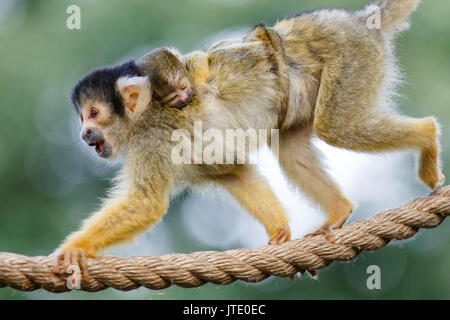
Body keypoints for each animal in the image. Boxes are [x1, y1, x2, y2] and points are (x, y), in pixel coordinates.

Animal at [53, 0, 442, 278]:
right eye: (83, 118)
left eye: (93, 114)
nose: (84, 134)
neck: (143, 117)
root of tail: (359, 20)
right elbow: (233, 171)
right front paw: (279, 231)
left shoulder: (152, 140)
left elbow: (146, 202)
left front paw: (75, 248)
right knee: (289, 146)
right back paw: (338, 211)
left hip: (349, 53)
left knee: (337, 126)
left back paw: (427, 136)